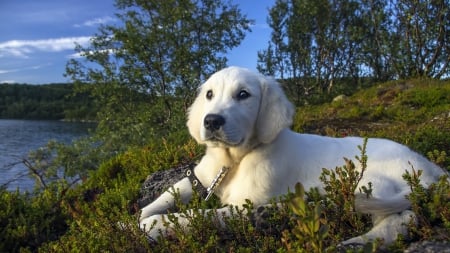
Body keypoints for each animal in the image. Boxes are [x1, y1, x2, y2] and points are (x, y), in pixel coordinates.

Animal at [141, 66, 446, 244]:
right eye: (209, 94)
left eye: (243, 95)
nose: (212, 121)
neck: (235, 159)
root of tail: (434, 170)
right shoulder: (201, 177)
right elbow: (170, 192)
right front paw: (138, 216)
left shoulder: (245, 204)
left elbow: (199, 215)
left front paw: (153, 226)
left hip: (370, 184)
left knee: (402, 218)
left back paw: (359, 243)